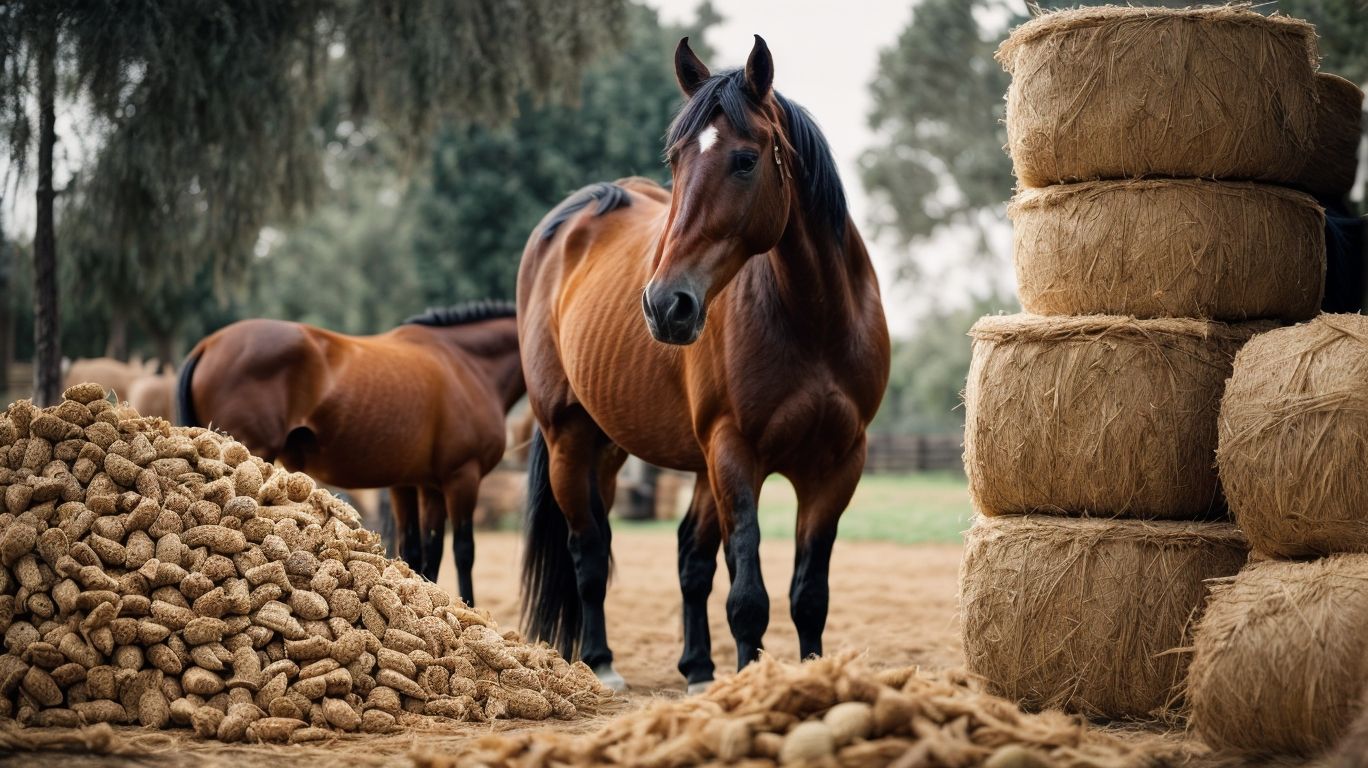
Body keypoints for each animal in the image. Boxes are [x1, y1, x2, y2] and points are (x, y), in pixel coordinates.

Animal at [177, 301, 525, 605]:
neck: (463, 364)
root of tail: (208, 345)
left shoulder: (417, 484)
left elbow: (422, 549)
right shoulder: (462, 477)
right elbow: (464, 551)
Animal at [517, 36, 890, 692]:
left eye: (745, 160)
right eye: (676, 161)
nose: (666, 305)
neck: (814, 321)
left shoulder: (837, 466)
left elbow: (808, 596)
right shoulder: (734, 453)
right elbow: (748, 597)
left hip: (619, 447)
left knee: (683, 555)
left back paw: (695, 667)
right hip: (570, 438)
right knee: (588, 551)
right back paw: (601, 662)